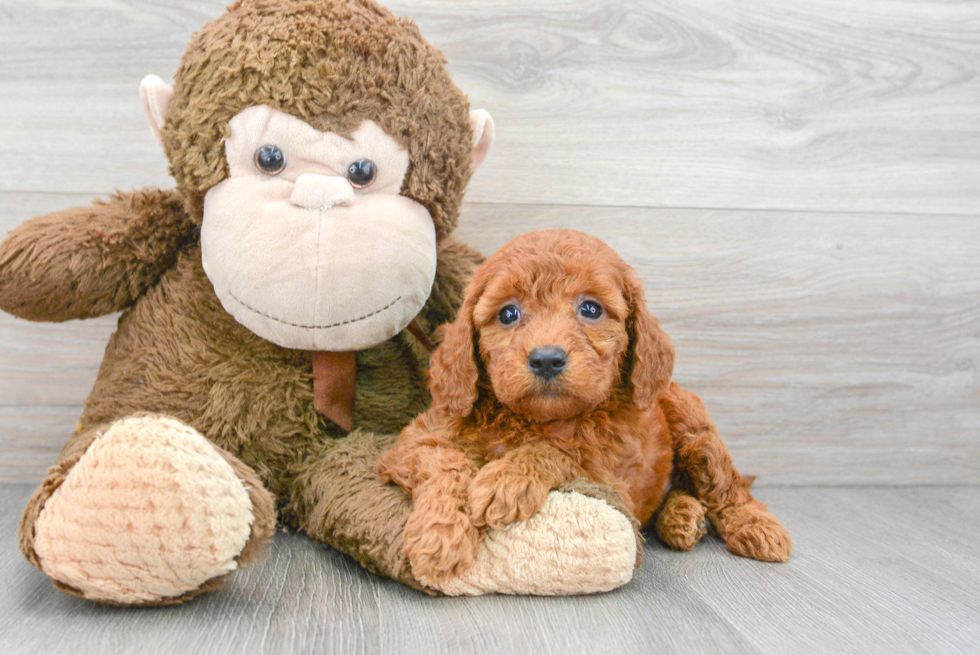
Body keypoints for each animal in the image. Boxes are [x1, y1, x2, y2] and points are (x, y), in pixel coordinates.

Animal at [378, 229, 792, 584]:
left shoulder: (611, 473)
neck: (533, 420)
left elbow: (563, 449)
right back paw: (682, 517)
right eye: (508, 314)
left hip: (692, 424)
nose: (547, 359)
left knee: (725, 486)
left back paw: (755, 526)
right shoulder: (413, 442)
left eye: (590, 309)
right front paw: (440, 535)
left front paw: (506, 480)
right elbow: (445, 461)